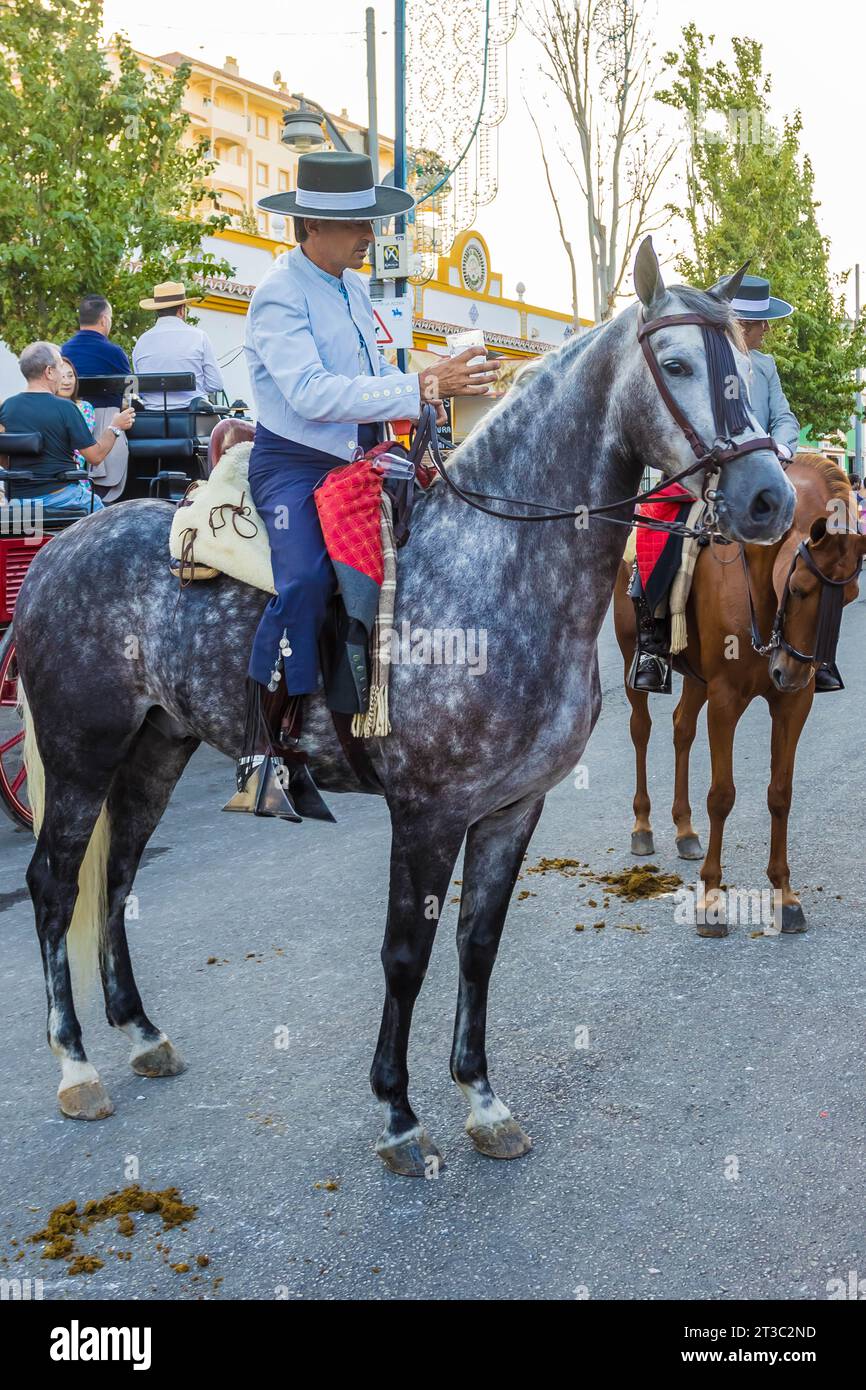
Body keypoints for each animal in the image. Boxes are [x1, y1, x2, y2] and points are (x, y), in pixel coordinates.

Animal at [15, 239, 800, 1173]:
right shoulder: (426, 811)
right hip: (80, 753)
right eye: (675, 363)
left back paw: (139, 1032)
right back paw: (74, 1065)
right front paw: (397, 1109)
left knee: (119, 875)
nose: (770, 499)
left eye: (745, 366)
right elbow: (405, 954)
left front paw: (483, 1100)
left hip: (157, 748)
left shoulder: (512, 807)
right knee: (55, 883)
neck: (499, 564)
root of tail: (60, 547)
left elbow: (476, 945)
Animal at [614, 453, 861, 934]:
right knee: (641, 730)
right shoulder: (726, 699)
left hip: (697, 678)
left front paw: (784, 896)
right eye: (799, 588)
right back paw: (643, 825)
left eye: (847, 598)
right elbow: (722, 796)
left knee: (682, 729)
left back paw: (685, 830)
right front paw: (710, 900)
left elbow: (780, 794)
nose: (790, 672)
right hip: (632, 660)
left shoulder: (792, 705)